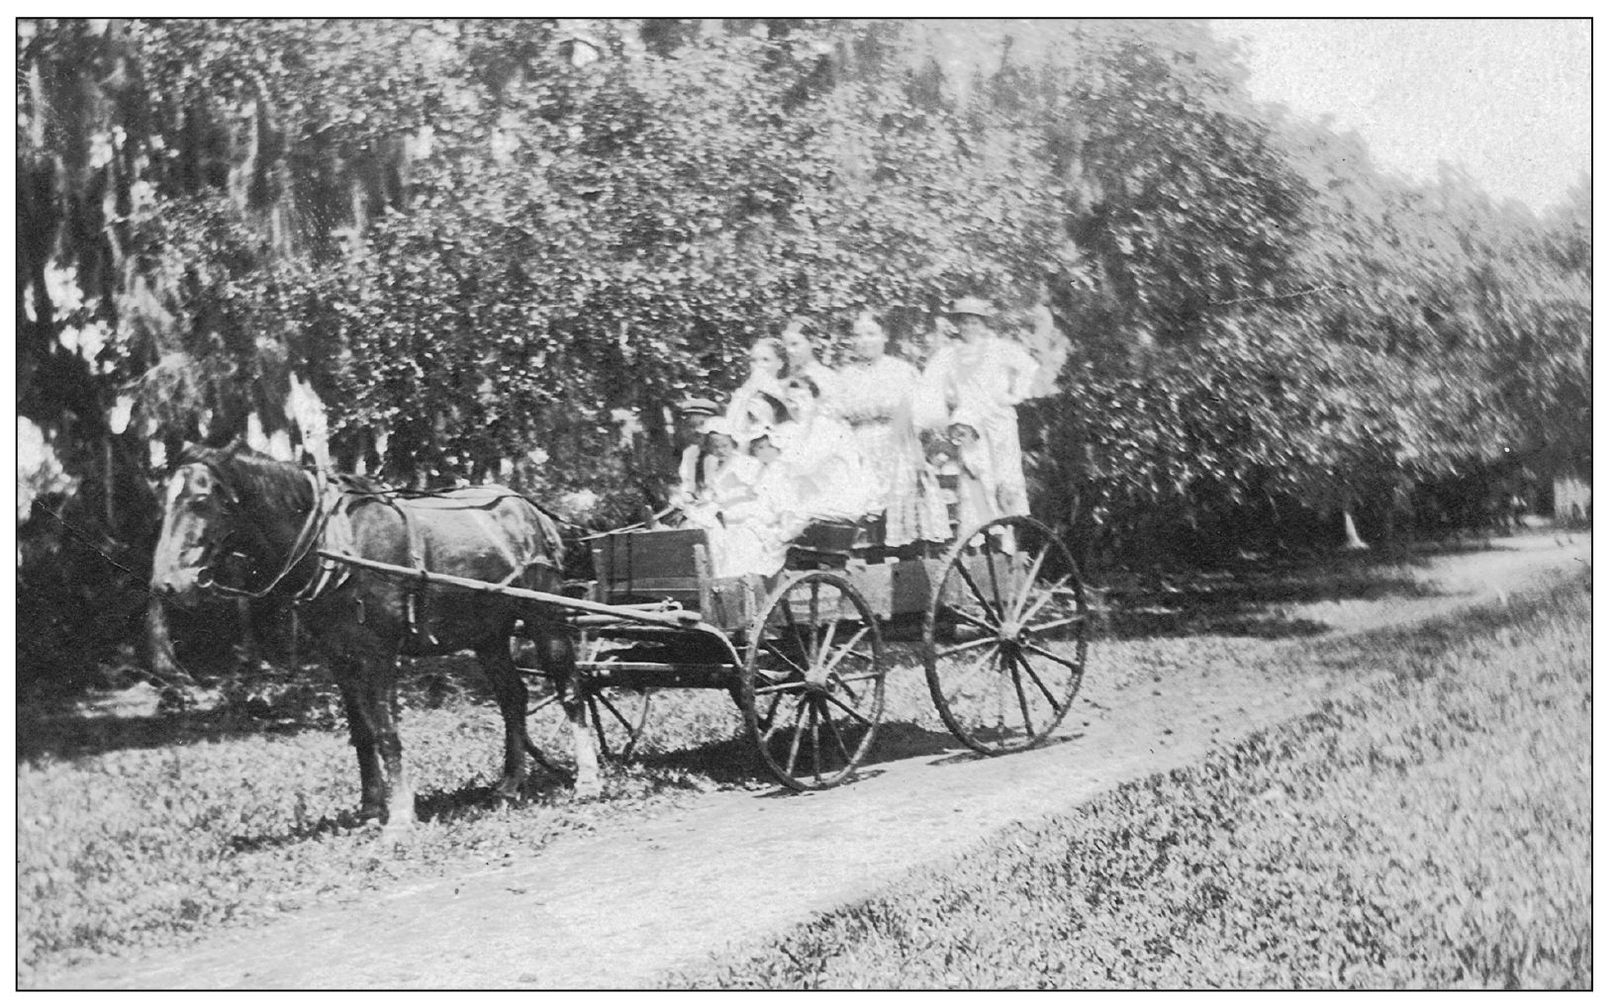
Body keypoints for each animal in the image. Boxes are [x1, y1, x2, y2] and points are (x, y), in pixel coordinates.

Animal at [147, 446, 595, 840]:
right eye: (164, 502)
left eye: (200, 500)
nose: (167, 584)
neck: (334, 545)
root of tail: (531, 511)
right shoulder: (339, 657)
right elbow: (362, 732)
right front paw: (369, 807)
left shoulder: (379, 652)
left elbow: (386, 731)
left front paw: (400, 817)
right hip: (488, 634)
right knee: (512, 698)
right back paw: (510, 782)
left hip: (544, 616)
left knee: (570, 689)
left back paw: (588, 781)